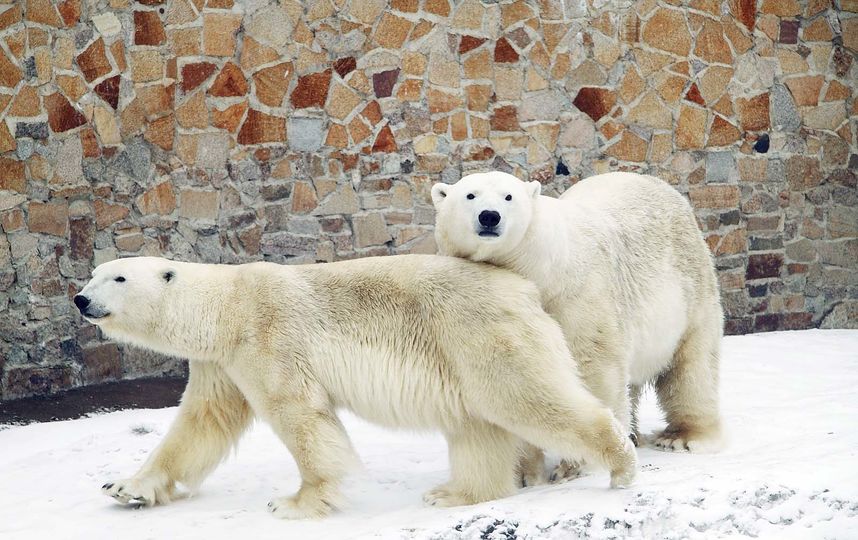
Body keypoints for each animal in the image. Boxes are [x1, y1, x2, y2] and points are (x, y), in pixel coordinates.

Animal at [75, 256, 636, 520]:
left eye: (118, 279)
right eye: (94, 273)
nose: (80, 299)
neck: (226, 308)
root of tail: (525, 289)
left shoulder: (268, 335)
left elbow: (301, 414)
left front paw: (296, 503)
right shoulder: (221, 363)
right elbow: (201, 423)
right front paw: (125, 488)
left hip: (476, 330)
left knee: (522, 397)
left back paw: (620, 464)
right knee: (477, 424)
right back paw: (454, 494)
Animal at [434, 171, 724, 458]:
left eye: (509, 196)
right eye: (470, 195)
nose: (489, 216)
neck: (542, 268)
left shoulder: (580, 294)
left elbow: (593, 365)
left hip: (691, 289)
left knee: (691, 366)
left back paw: (684, 437)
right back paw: (634, 434)